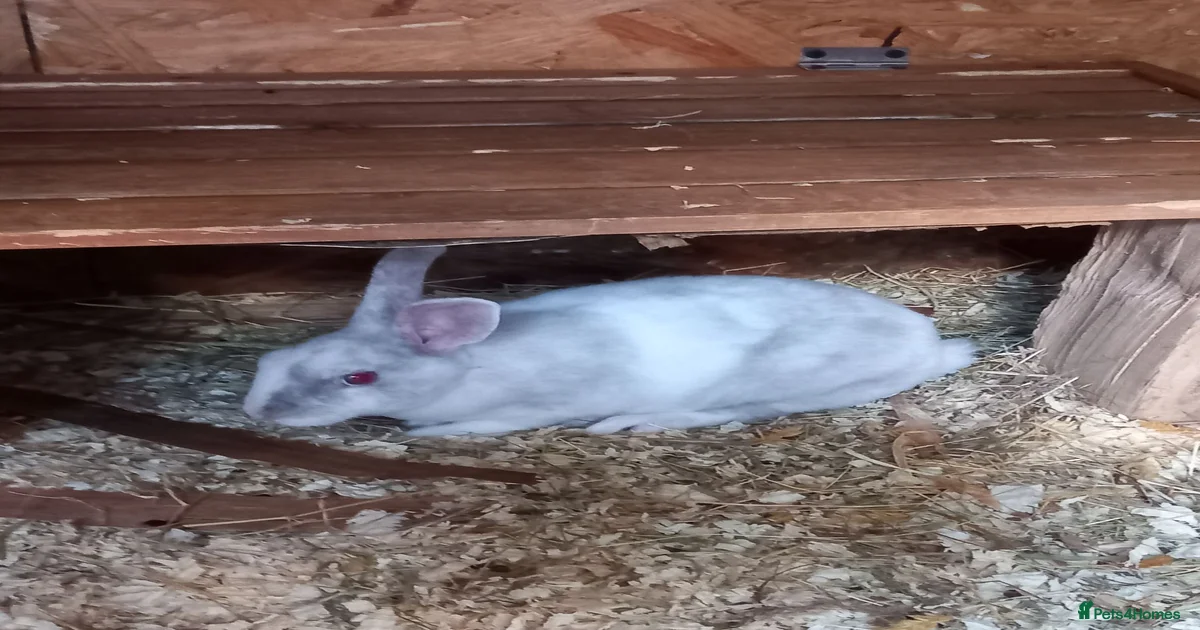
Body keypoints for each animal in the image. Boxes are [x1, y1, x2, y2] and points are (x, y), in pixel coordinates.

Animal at [242, 245, 976, 436]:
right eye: (274, 358)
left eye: (357, 378)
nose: (254, 411)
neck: (467, 366)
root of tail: (930, 342)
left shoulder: (538, 405)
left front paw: (432, 435)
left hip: (776, 379)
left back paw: (629, 424)